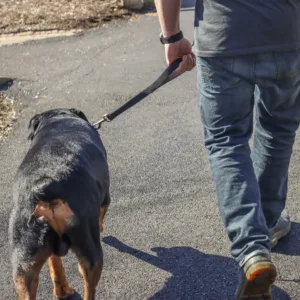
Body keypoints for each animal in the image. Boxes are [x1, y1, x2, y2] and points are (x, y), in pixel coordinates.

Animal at [8, 109, 110, 300]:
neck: (58, 117)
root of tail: (47, 186)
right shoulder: (106, 197)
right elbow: (101, 215)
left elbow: (54, 263)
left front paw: (61, 288)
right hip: (90, 250)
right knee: (89, 287)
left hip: (22, 266)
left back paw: (62, 290)